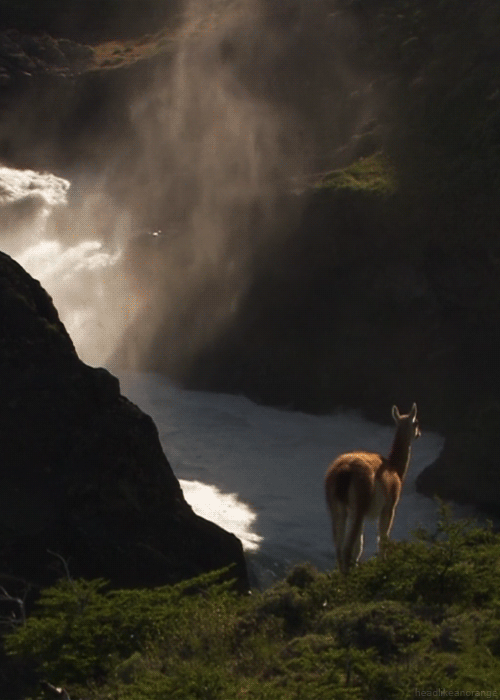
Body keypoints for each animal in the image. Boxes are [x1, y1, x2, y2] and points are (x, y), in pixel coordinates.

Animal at [324, 403, 421, 574]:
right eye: (416, 422)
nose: (419, 434)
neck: (395, 469)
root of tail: (344, 471)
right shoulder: (389, 507)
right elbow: (383, 538)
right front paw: (384, 564)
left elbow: (359, 546)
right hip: (359, 506)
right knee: (347, 549)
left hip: (338, 508)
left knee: (339, 547)